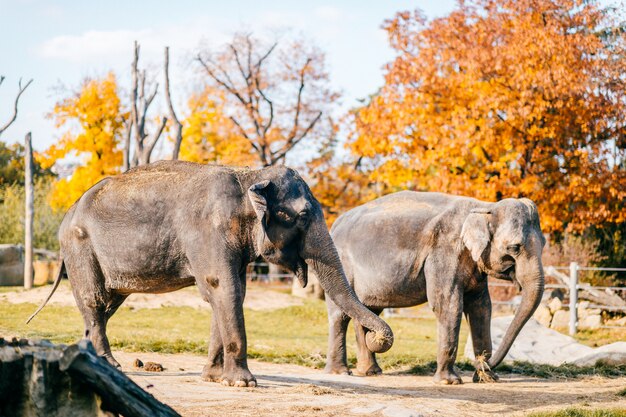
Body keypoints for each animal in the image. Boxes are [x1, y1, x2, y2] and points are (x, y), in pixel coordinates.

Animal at [29, 160, 392, 386]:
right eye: (302, 216)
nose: (376, 338)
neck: (249, 175)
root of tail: (68, 212)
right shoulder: (208, 231)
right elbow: (221, 288)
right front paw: (244, 383)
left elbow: (233, 293)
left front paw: (215, 378)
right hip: (80, 246)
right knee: (94, 300)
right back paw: (108, 363)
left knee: (109, 303)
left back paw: (92, 356)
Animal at [324, 191, 544, 384]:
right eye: (514, 247)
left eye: (544, 244)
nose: (484, 363)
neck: (484, 206)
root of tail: (335, 223)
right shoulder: (444, 252)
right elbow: (448, 305)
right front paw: (450, 382)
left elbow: (481, 308)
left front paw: (488, 379)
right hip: (341, 264)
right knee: (340, 316)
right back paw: (340, 372)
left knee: (368, 312)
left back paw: (370, 372)